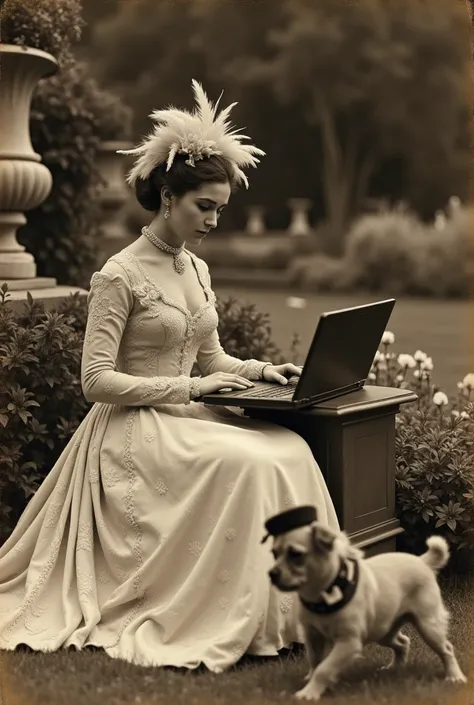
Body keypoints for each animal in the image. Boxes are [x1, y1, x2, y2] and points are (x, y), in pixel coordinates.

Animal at [266, 516, 466, 700]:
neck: (325, 593)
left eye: (295, 554)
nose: (271, 573)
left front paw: (309, 693)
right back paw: (395, 668)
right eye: (274, 553)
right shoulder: (312, 636)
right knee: (403, 642)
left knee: (447, 649)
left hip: (428, 627)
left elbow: (324, 668)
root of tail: (422, 561)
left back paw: (454, 677)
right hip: (383, 631)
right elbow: (315, 662)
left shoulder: (348, 642)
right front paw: (311, 682)